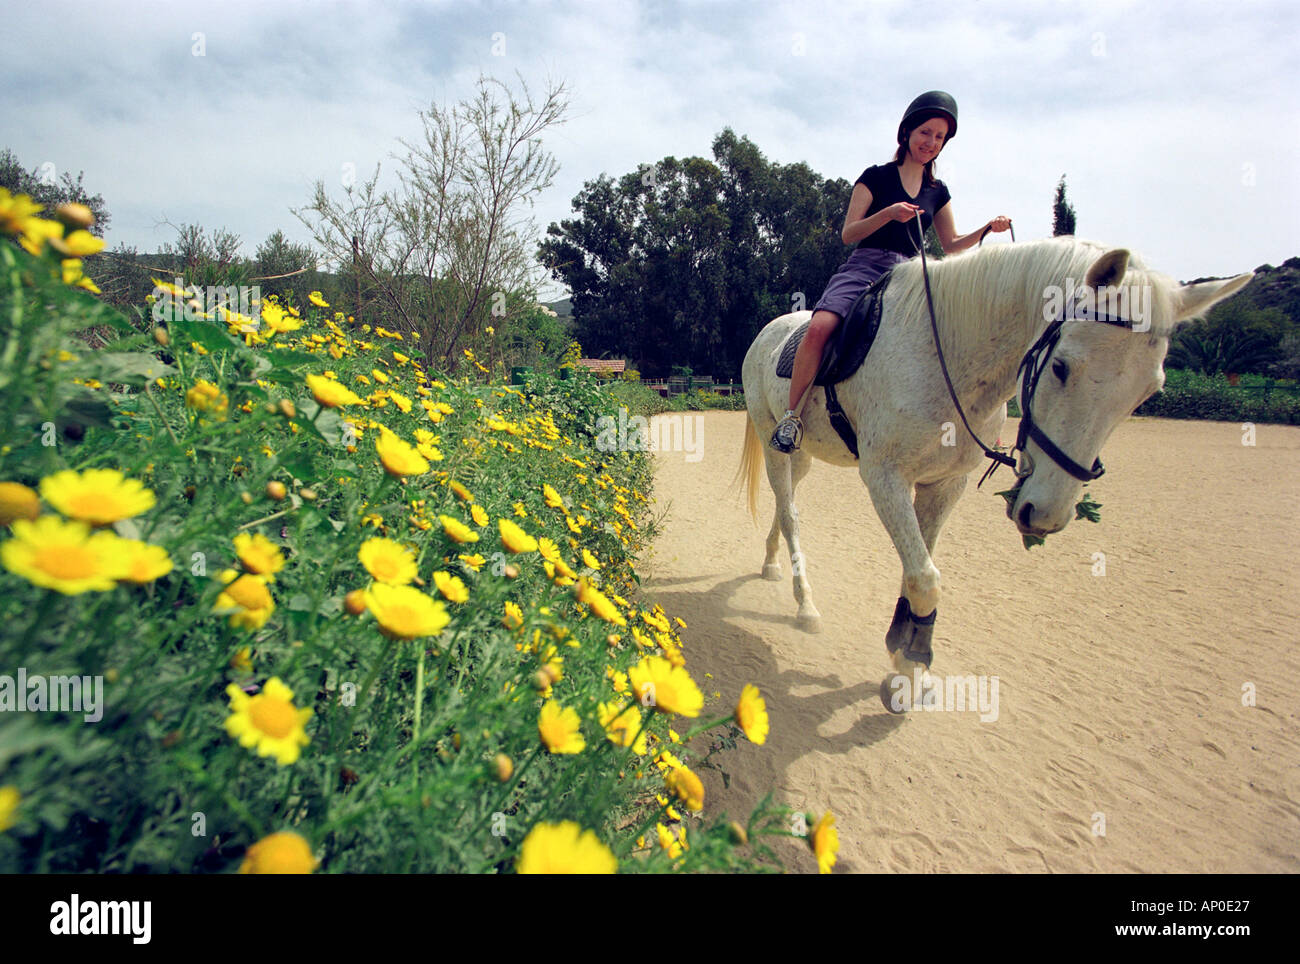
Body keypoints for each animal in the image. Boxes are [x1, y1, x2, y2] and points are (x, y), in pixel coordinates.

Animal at [735, 235, 1251, 710]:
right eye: (1060, 367)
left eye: (1147, 393)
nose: (1044, 515)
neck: (946, 354)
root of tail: (769, 331)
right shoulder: (885, 478)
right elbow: (926, 578)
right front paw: (911, 664)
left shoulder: (946, 484)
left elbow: (916, 573)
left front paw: (907, 665)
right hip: (774, 439)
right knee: (791, 513)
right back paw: (805, 606)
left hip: (804, 455)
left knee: (785, 507)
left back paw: (771, 564)